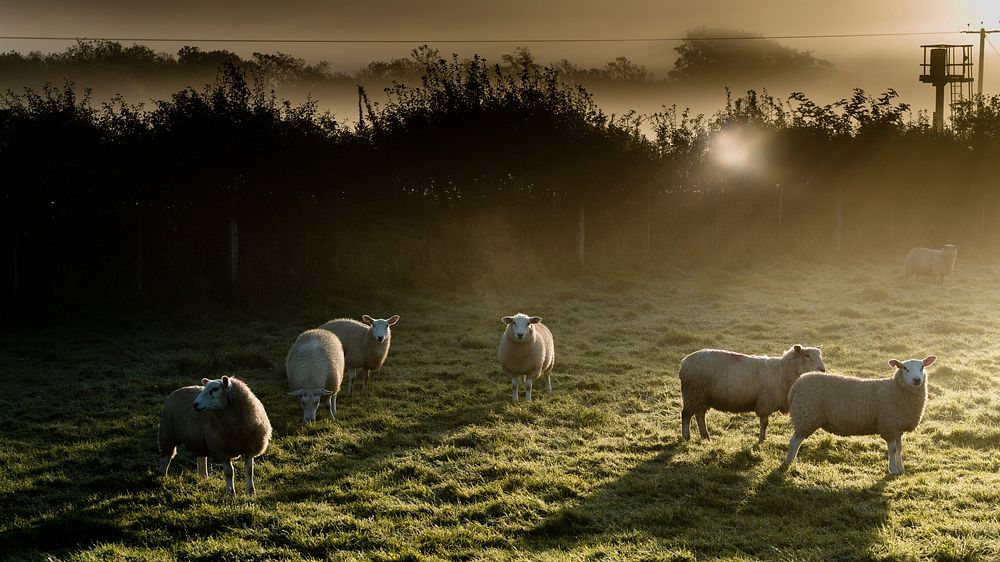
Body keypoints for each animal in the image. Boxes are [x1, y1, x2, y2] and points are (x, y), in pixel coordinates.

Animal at [680, 344, 828, 444]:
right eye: (807, 355)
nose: (822, 370)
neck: (782, 371)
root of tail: (684, 362)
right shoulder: (765, 403)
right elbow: (764, 423)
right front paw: (761, 440)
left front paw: (762, 439)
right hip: (693, 393)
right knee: (686, 415)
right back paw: (687, 437)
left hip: (702, 397)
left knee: (700, 415)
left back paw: (705, 436)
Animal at [780, 354, 936, 472]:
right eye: (905, 368)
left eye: (922, 367)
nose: (917, 380)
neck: (894, 390)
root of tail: (798, 383)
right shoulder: (889, 425)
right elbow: (892, 449)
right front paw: (893, 470)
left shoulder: (897, 427)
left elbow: (900, 449)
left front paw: (901, 468)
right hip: (805, 415)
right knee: (794, 441)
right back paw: (788, 462)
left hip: (805, 416)